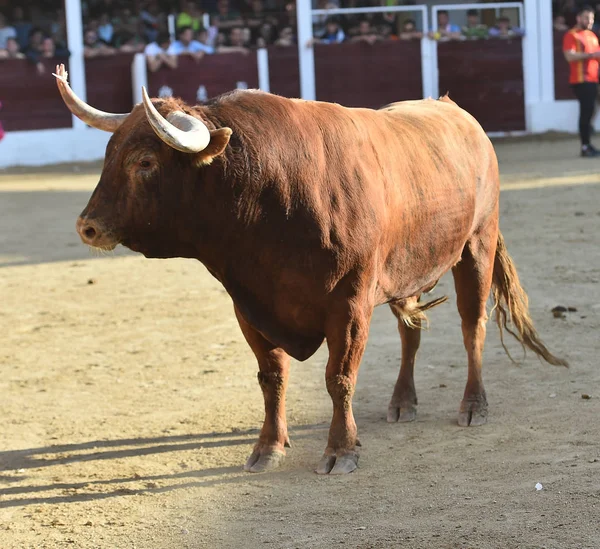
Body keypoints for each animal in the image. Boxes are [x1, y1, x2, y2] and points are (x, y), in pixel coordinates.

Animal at [54, 64, 564, 474]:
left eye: (145, 161)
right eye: (108, 154)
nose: (87, 226)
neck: (269, 195)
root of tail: (457, 113)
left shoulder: (350, 305)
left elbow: (339, 378)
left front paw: (341, 451)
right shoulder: (250, 306)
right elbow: (272, 378)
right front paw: (267, 448)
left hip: (476, 245)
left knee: (472, 325)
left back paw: (474, 405)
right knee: (411, 333)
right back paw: (402, 402)